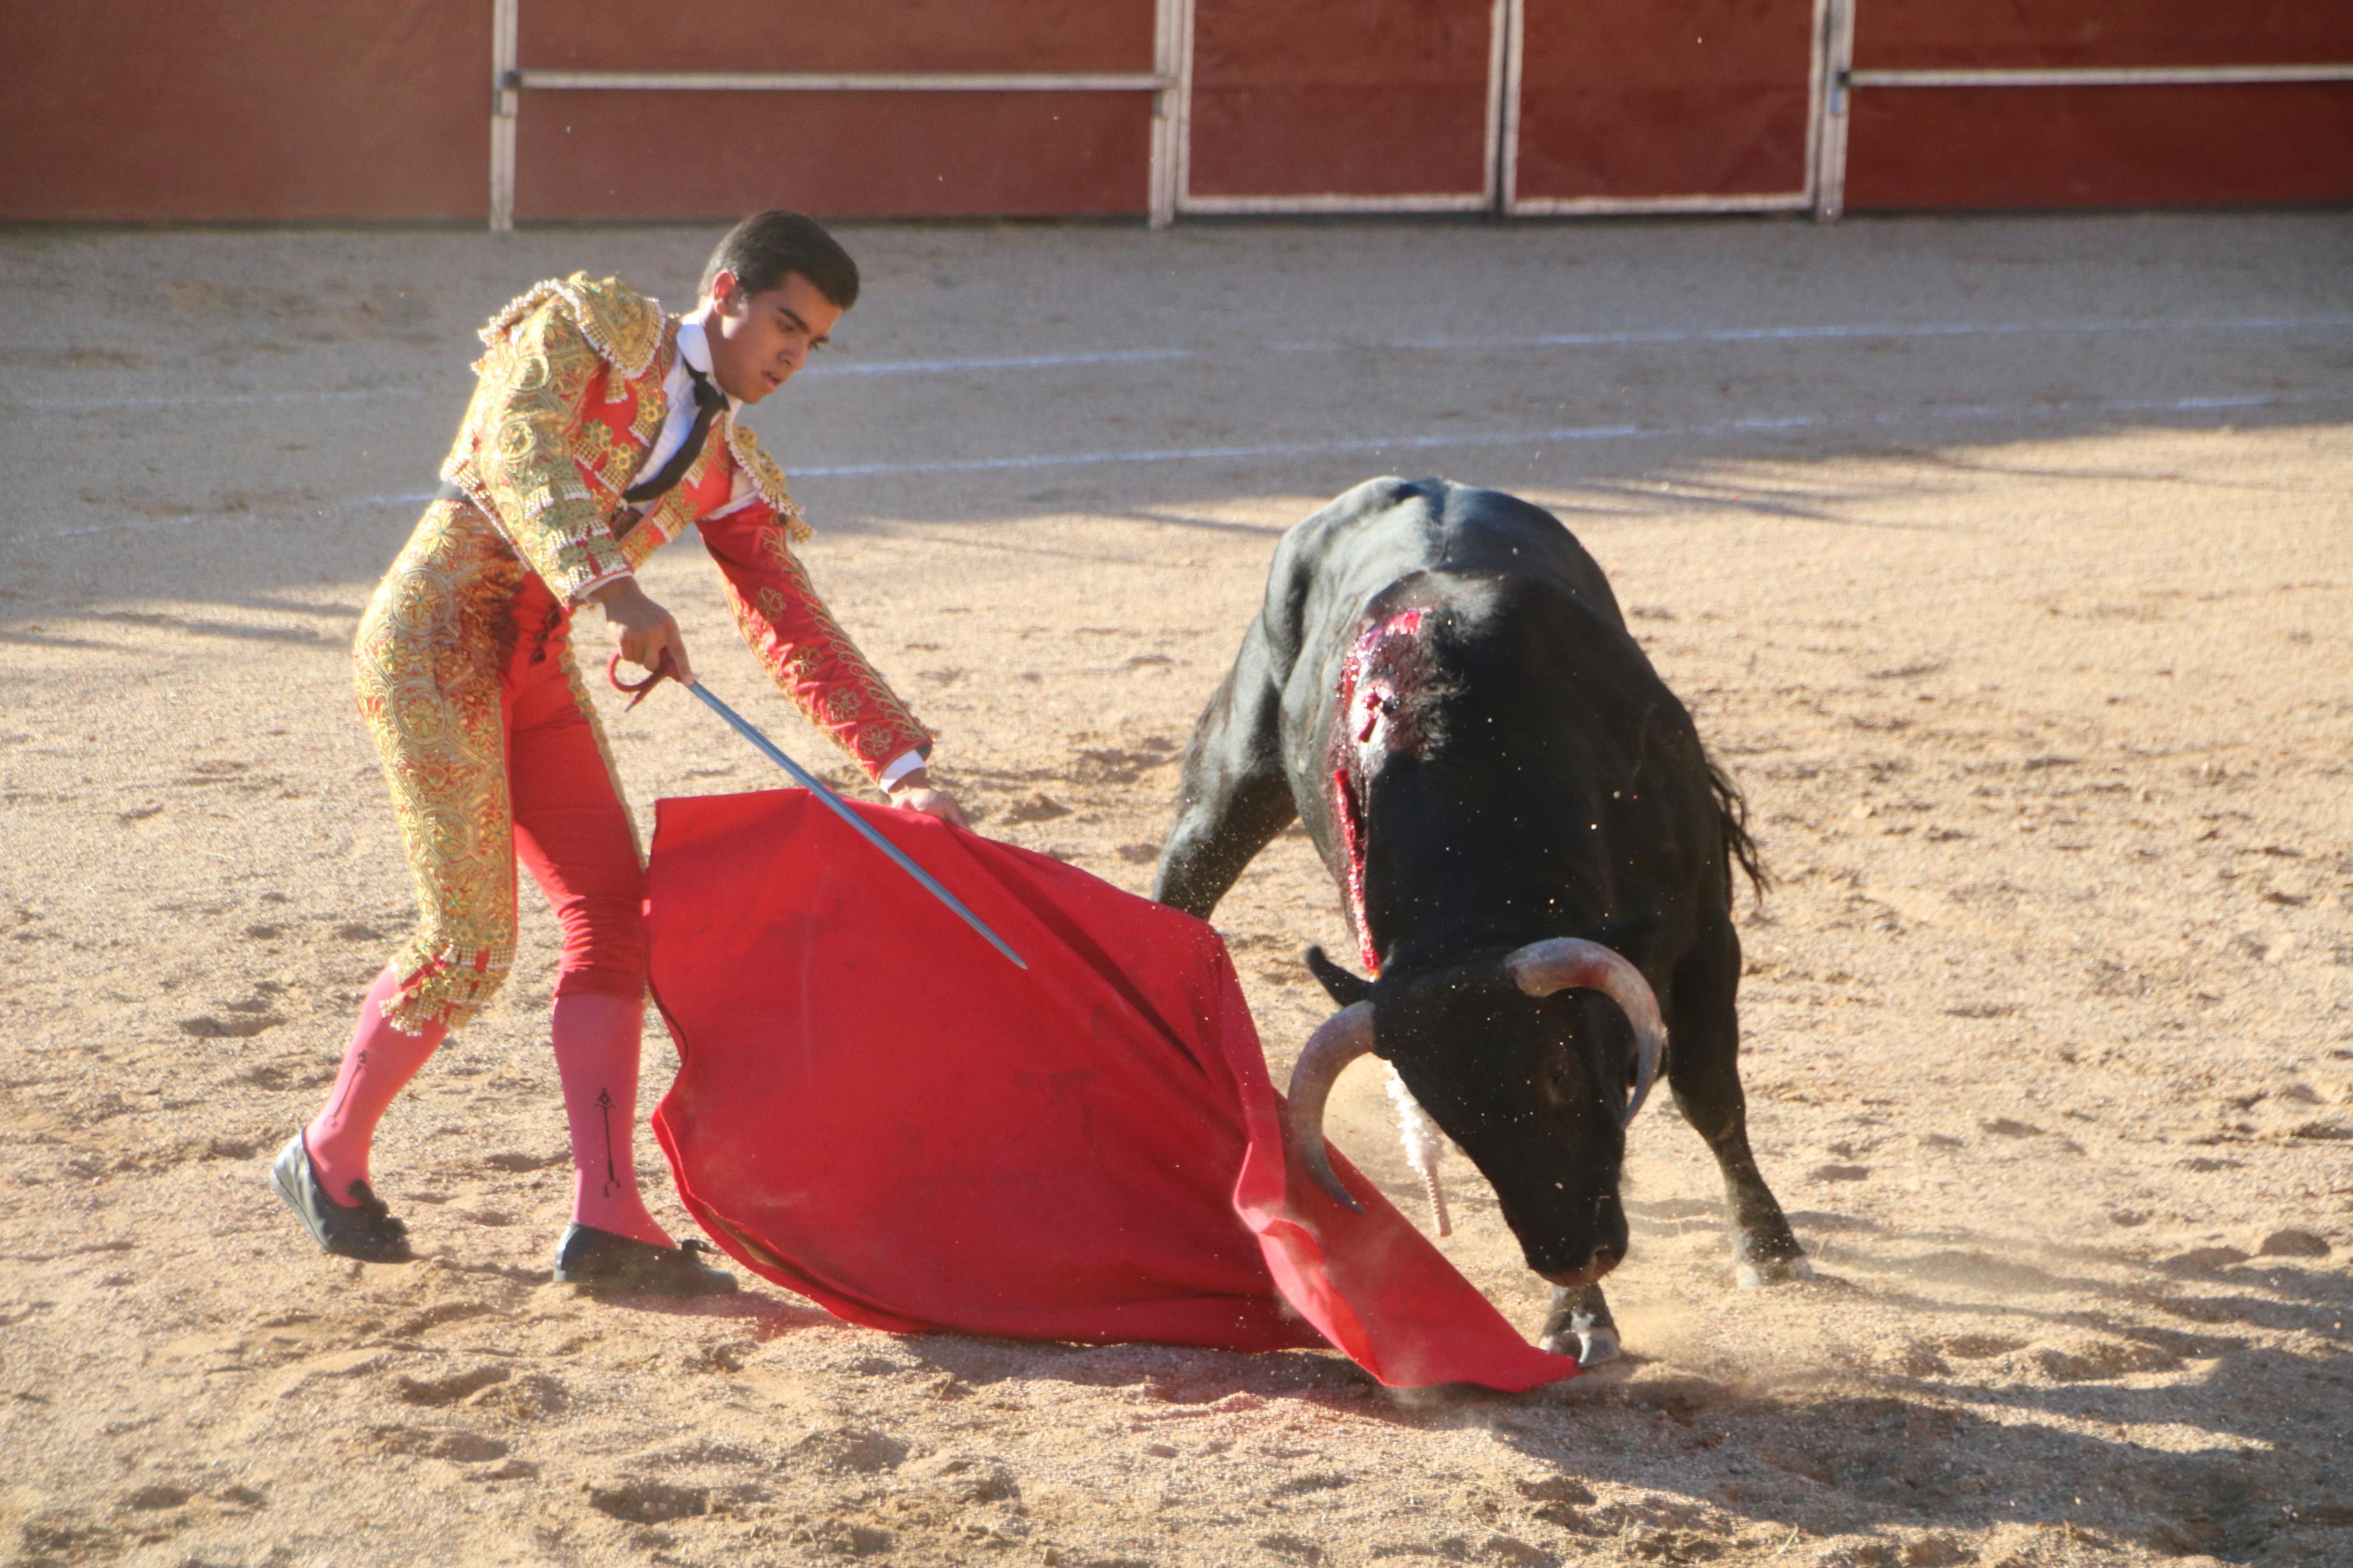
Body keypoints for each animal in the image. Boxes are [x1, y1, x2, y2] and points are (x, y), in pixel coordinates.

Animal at [1148, 475, 1807, 1363]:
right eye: (1445, 1114)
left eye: (1559, 1074)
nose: (1570, 1254)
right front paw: (1578, 1318)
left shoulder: (1707, 930)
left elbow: (1709, 1091)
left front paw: (1766, 1248)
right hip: (1233, 776)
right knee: (1185, 876)